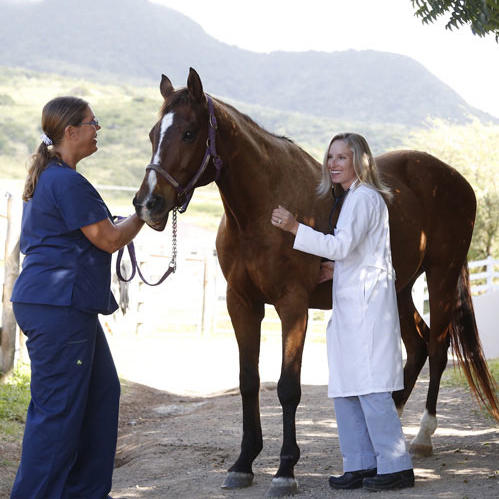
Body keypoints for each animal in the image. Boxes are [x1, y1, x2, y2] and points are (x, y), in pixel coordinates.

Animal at [134, 68, 499, 498]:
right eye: (154, 133)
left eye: (189, 133)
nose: (148, 204)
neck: (261, 210)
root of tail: (455, 180)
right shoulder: (241, 304)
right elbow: (248, 382)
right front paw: (243, 463)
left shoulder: (292, 305)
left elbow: (287, 387)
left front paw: (285, 470)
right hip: (401, 288)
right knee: (418, 346)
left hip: (441, 275)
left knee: (439, 351)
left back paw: (421, 437)